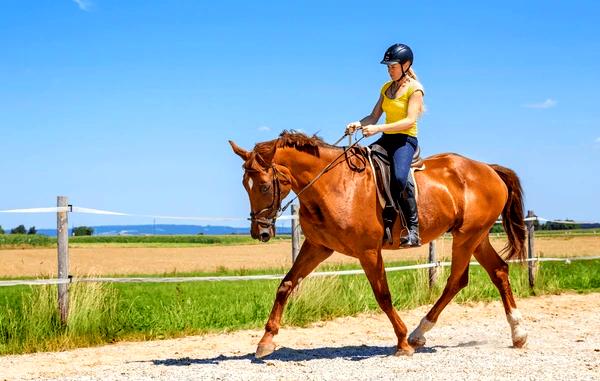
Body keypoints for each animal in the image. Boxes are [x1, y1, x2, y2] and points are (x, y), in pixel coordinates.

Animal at [227, 130, 528, 356]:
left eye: (264, 186)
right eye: (244, 184)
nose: (259, 232)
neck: (333, 184)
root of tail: (489, 169)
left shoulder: (368, 251)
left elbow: (383, 296)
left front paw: (403, 343)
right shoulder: (317, 246)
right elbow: (286, 284)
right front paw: (266, 341)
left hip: (467, 236)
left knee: (457, 280)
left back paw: (418, 333)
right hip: (477, 236)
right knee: (498, 271)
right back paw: (518, 333)